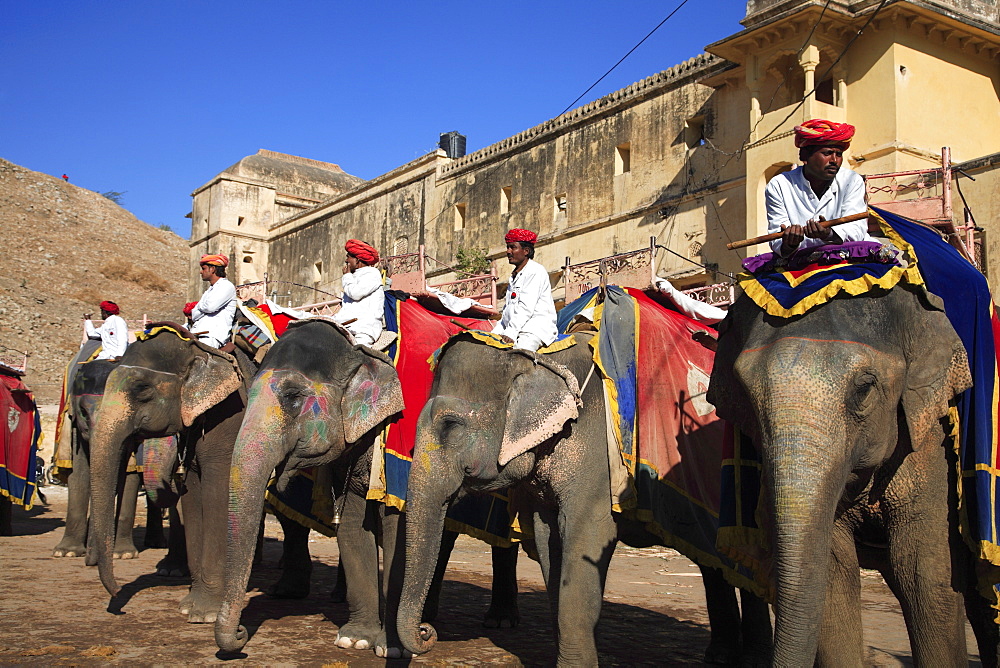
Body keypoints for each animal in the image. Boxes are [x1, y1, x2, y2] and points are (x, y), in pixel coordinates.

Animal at [89, 326, 250, 624]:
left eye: (142, 389)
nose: (116, 592)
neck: (198, 348)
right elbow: (192, 495)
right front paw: (188, 606)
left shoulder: (229, 418)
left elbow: (217, 493)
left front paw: (204, 615)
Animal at [398, 334, 772, 668]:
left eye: (450, 426)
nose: (427, 632)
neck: (542, 362)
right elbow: (550, 541)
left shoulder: (596, 455)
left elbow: (587, 536)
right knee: (713, 562)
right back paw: (721, 656)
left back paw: (752, 659)